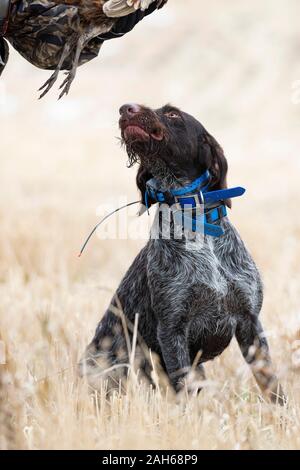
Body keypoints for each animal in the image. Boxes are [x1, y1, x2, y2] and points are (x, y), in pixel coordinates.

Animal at [79, 103, 284, 404]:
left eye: (173, 113)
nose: (126, 108)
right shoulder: (172, 329)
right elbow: (182, 391)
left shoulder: (250, 323)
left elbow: (272, 384)